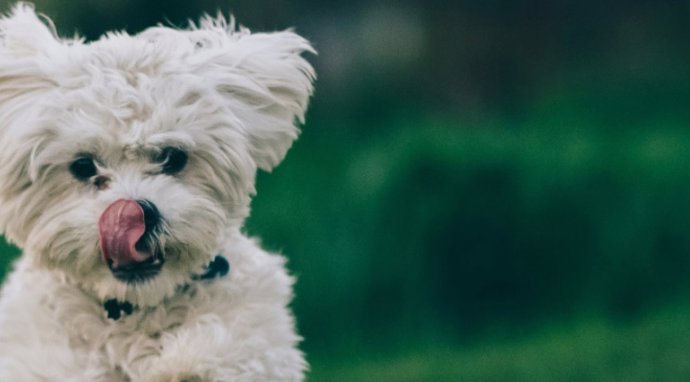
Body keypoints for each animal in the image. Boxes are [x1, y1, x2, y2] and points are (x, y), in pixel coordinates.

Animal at [0, 3, 314, 382]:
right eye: (83, 166)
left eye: (173, 157)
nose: (134, 214)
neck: (137, 312)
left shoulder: (261, 341)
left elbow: (230, 346)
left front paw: (190, 358)